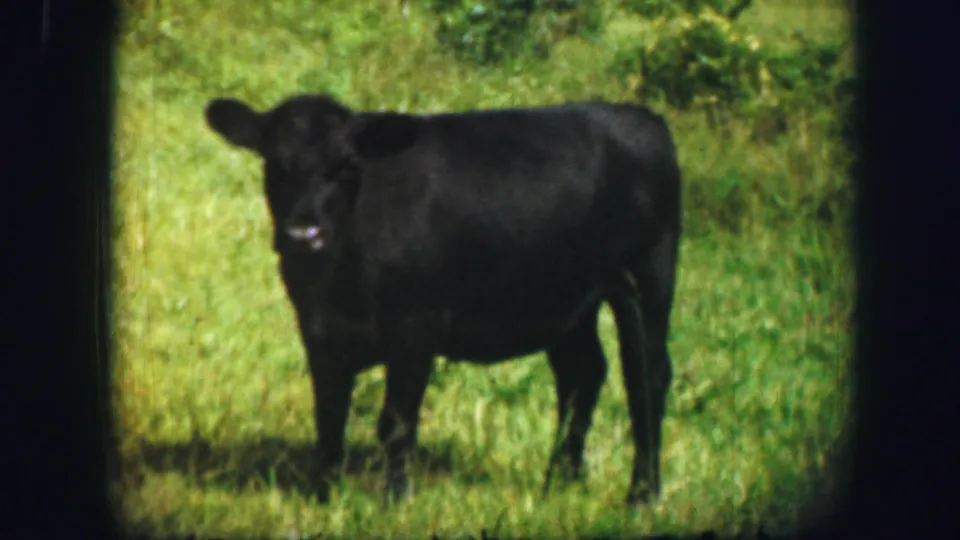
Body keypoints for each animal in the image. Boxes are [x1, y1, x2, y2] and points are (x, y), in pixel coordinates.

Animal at [203, 93, 682, 506]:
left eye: (347, 165)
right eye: (274, 163)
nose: (305, 235)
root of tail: (639, 116)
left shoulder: (417, 325)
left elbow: (396, 422)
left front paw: (396, 500)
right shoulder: (318, 328)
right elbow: (329, 418)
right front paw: (323, 496)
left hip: (645, 277)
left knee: (646, 377)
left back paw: (642, 494)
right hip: (565, 300)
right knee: (582, 373)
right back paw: (558, 481)